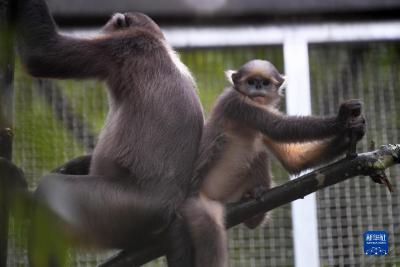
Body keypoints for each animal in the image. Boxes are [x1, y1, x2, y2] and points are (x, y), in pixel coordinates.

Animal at [184, 59, 366, 266]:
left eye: (264, 82)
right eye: (251, 81)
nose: (257, 87)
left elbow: (293, 160)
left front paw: (350, 135)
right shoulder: (238, 103)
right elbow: (279, 128)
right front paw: (342, 118)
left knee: (259, 152)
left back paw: (255, 205)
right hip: (203, 198)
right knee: (211, 229)